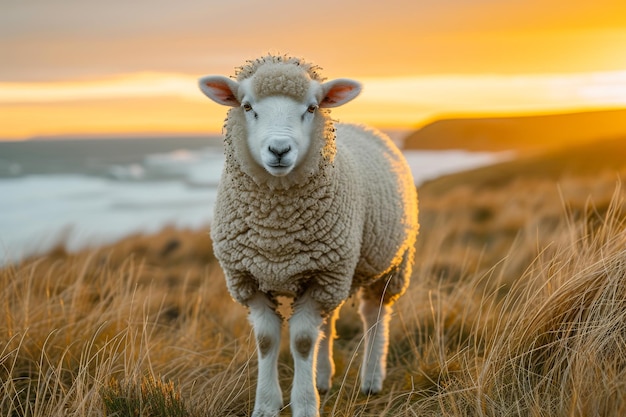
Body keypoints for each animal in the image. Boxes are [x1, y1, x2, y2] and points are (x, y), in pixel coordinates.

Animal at [197, 52, 416, 416]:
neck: (276, 231)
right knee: (329, 321)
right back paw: (324, 377)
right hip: (338, 274)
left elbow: (301, 342)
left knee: (374, 317)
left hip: (389, 264)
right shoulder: (250, 278)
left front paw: (304, 405)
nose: (279, 150)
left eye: (312, 108)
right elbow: (267, 340)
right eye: (247, 106)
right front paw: (266, 406)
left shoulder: (322, 274)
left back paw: (371, 378)